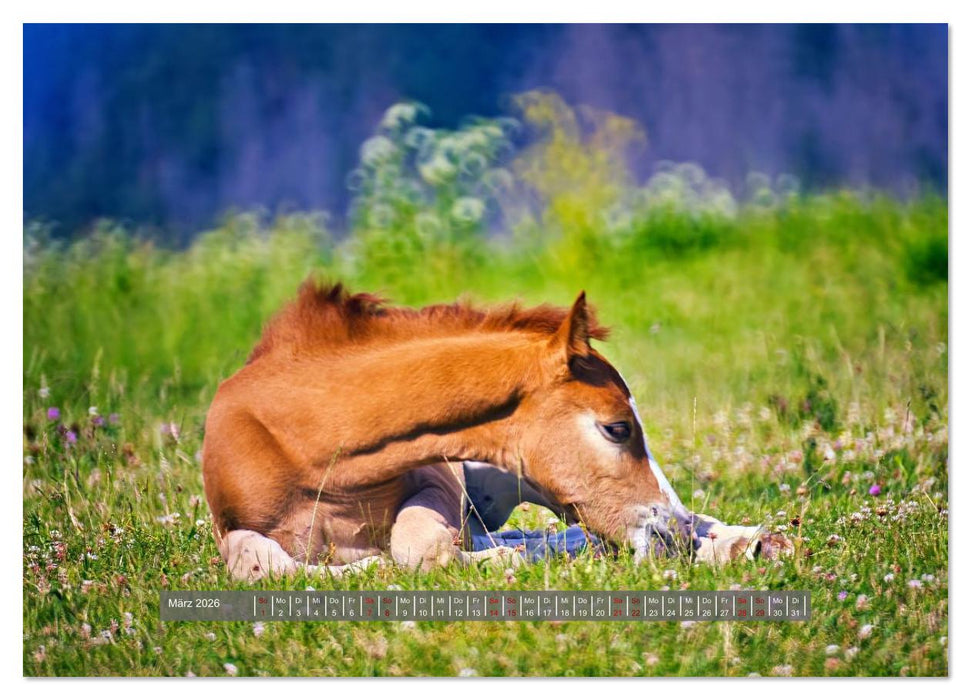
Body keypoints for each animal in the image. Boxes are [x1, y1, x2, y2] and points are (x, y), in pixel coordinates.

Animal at [201, 281, 791, 580]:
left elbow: (416, 544)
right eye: (617, 428)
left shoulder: (437, 480)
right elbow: (258, 565)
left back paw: (741, 543)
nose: (670, 535)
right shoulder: (231, 524)